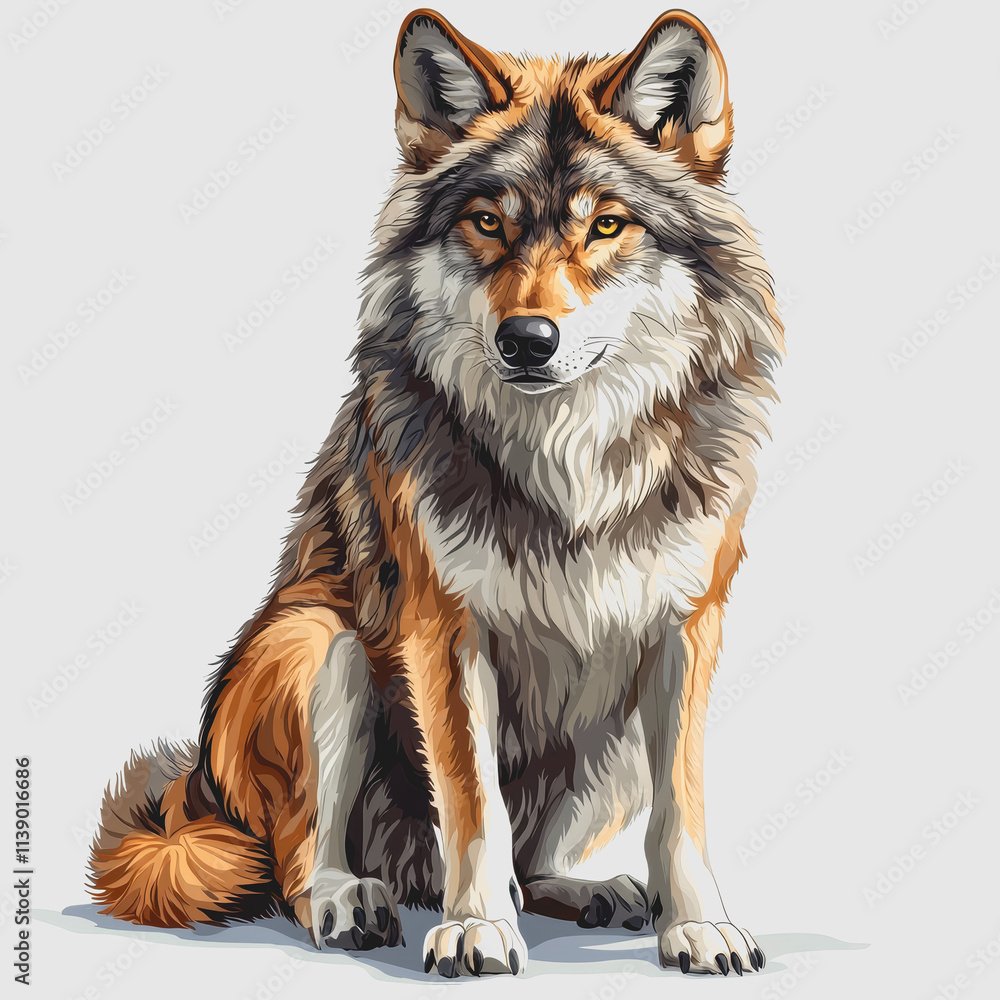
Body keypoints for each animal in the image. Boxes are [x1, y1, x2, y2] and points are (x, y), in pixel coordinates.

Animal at [89, 8, 783, 978]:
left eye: (608, 225)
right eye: (488, 222)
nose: (528, 339)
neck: (566, 455)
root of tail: (200, 794)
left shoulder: (685, 627)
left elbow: (681, 809)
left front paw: (699, 928)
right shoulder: (443, 630)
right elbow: (473, 802)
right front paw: (476, 929)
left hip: (608, 739)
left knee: (536, 856)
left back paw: (583, 891)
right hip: (320, 643)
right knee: (300, 858)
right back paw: (352, 901)